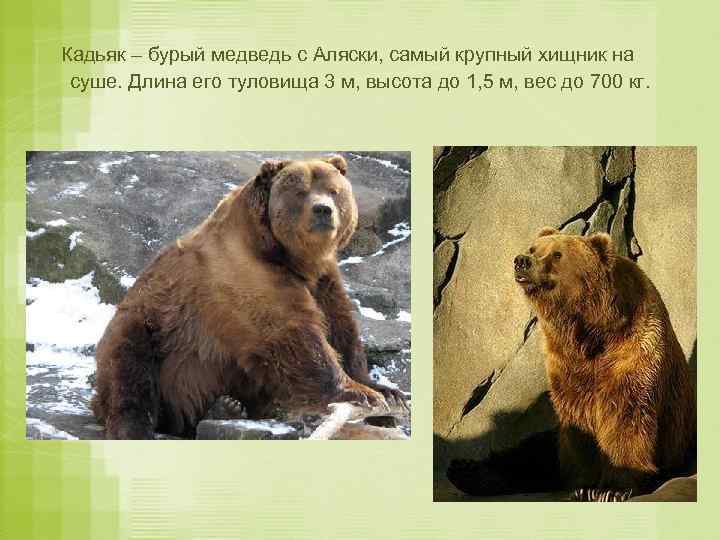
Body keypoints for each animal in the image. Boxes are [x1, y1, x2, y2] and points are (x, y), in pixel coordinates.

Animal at [91, 155, 405, 439]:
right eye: (300, 191)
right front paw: (359, 393)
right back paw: (136, 426)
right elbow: (291, 334)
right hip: (150, 329)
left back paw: (227, 406)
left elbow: (340, 327)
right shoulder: (245, 273)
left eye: (334, 190)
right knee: (128, 370)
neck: (292, 258)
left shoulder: (324, 281)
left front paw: (386, 391)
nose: (323, 210)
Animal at [447, 228, 695, 500]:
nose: (522, 260)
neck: (590, 330)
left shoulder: (632, 351)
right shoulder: (566, 362)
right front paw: (583, 485)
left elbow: (626, 413)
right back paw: (464, 470)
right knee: (529, 453)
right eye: (534, 248)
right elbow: (577, 419)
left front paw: (613, 489)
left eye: (557, 254)